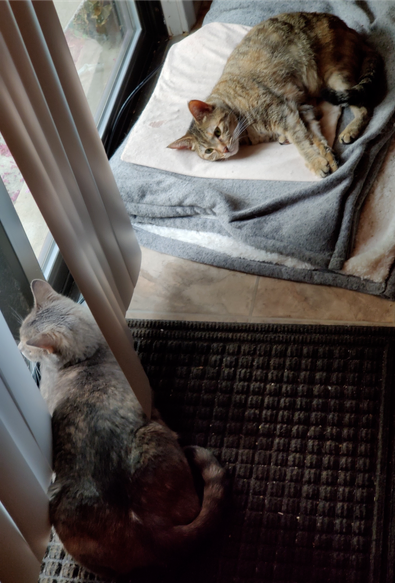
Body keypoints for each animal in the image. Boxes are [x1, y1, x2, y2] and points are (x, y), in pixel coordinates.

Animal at [169, 10, 386, 176]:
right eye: (208, 151)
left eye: (217, 132)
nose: (224, 150)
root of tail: (351, 31)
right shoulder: (301, 111)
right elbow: (316, 138)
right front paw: (326, 157)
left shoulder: (285, 113)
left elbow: (302, 144)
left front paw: (316, 163)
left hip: (336, 78)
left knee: (365, 107)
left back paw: (350, 130)